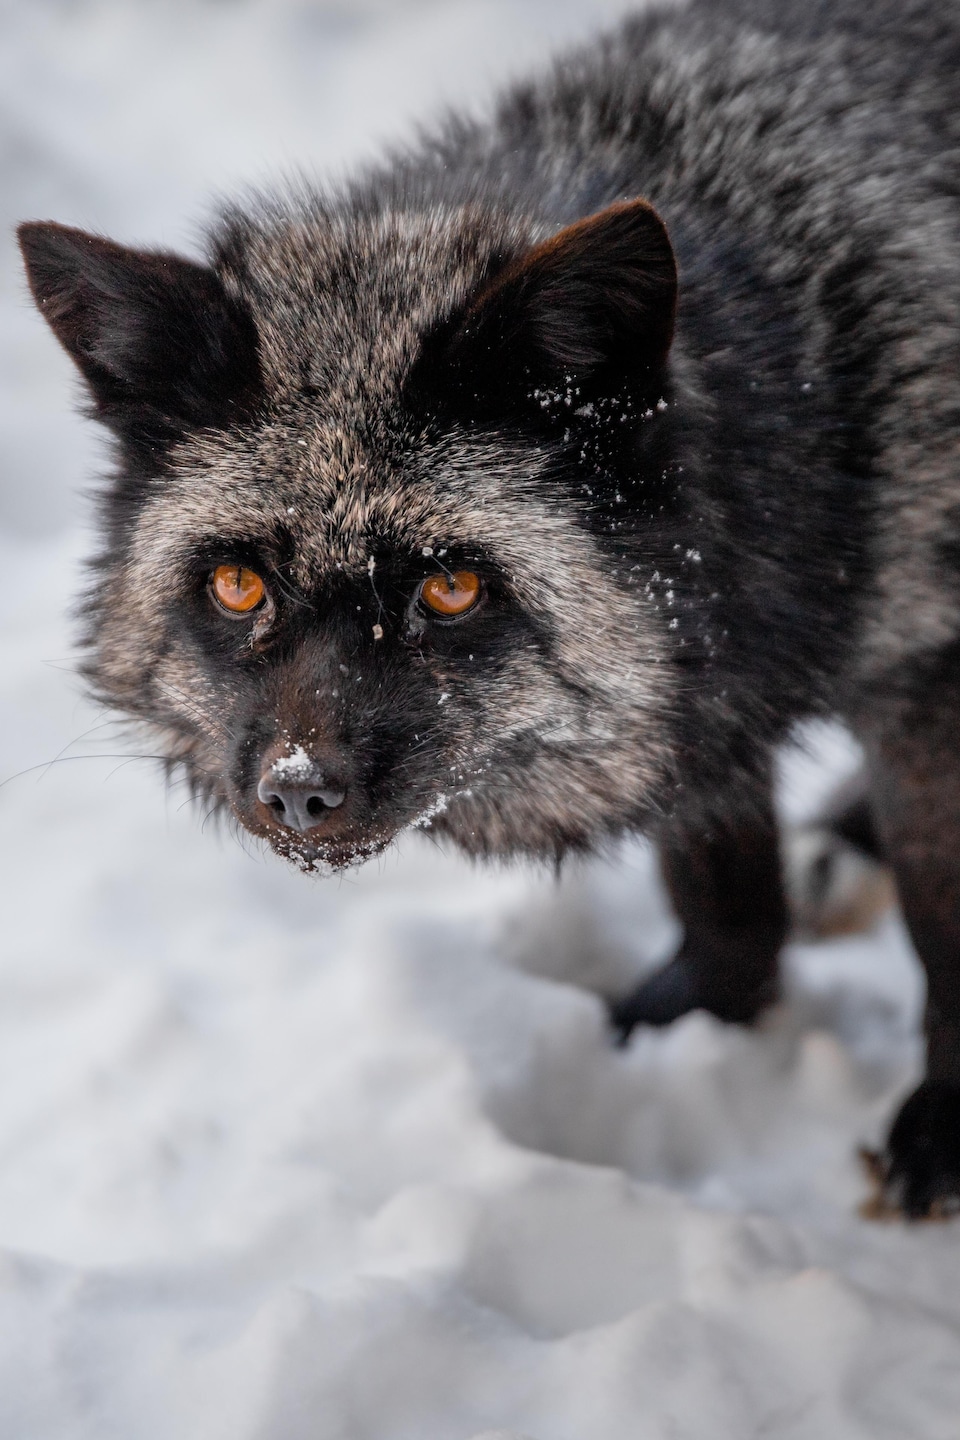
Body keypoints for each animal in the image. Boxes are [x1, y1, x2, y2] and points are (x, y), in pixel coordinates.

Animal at [17, 0, 960, 1218]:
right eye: (238, 585)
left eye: (450, 588)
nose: (299, 793)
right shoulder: (705, 690)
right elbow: (720, 880)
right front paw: (704, 1021)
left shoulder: (924, 668)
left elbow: (945, 926)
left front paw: (948, 1130)